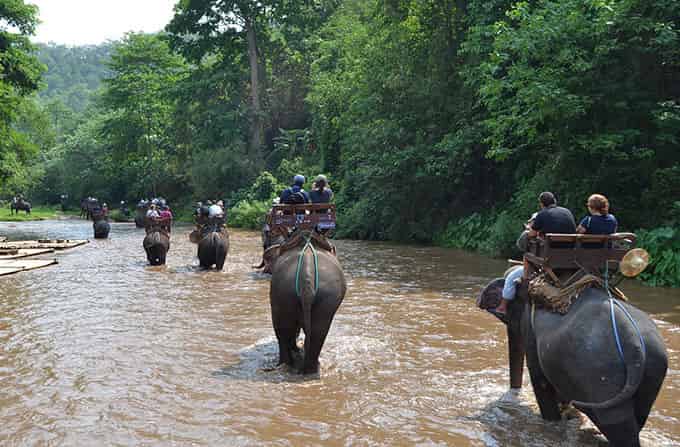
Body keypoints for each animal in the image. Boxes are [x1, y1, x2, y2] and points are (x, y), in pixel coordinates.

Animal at [488, 280, 668, 447]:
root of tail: (634, 345)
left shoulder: (530, 331)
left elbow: (540, 380)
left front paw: (554, 420)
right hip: (653, 369)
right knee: (638, 416)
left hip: (600, 371)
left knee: (616, 423)